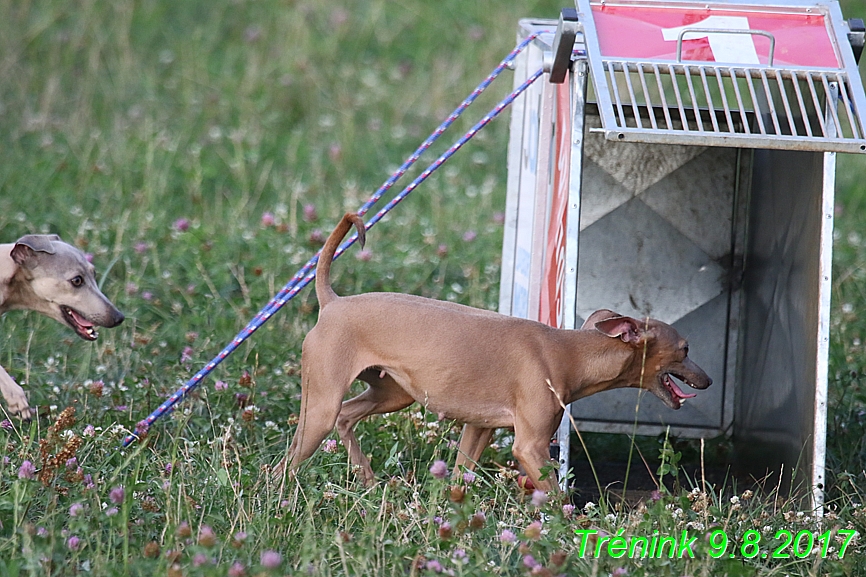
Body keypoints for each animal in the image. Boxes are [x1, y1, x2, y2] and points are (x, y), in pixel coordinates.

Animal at [276, 214, 708, 488]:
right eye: (685, 348)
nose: (708, 379)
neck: (570, 351)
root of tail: (332, 302)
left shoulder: (478, 428)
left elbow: (458, 479)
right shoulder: (530, 447)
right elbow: (555, 499)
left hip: (391, 393)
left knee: (347, 417)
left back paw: (365, 476)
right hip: (320, 407)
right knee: (288, 461)